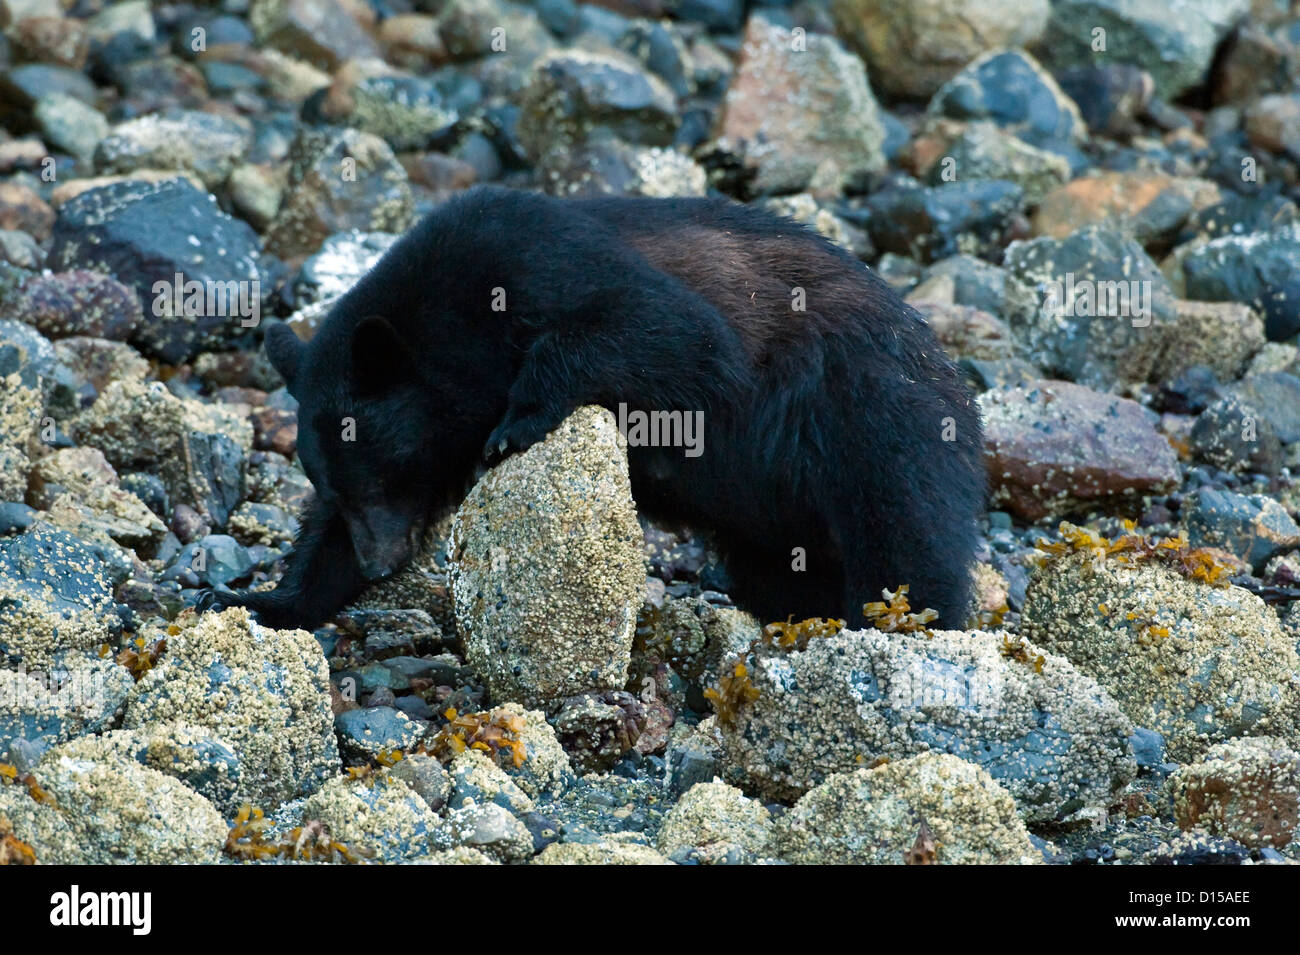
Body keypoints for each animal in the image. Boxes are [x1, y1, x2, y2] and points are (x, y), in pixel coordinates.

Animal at [202, 189, 977, 631]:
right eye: (335, 488)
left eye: (382, 475)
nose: (380, 561)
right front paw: (267, 600)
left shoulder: (533, 256)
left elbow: (675, 335)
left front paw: (519, 418)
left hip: (870, 409)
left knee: (905, 530)